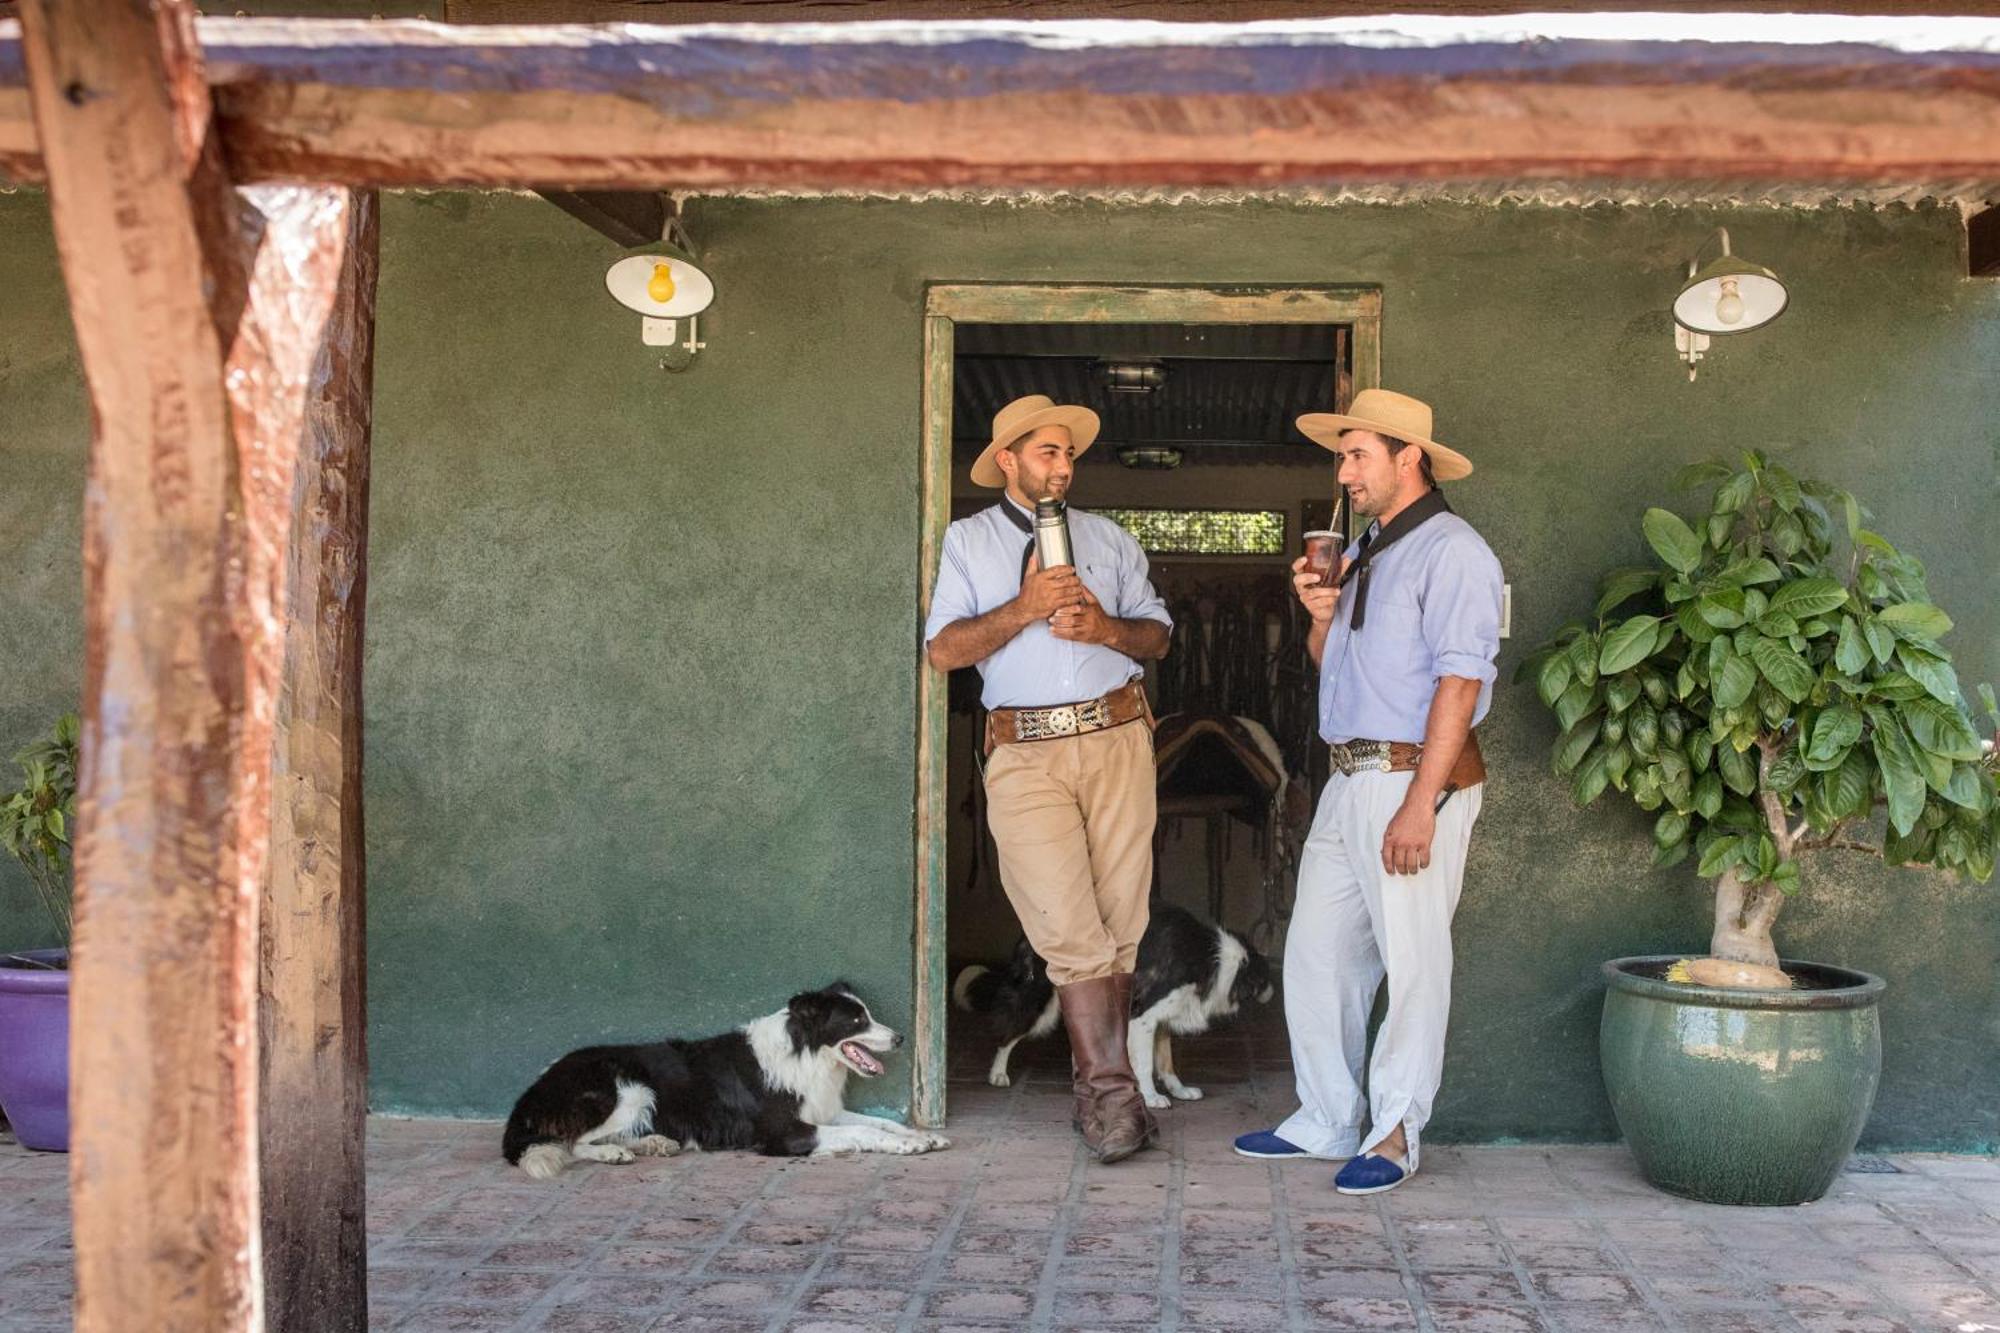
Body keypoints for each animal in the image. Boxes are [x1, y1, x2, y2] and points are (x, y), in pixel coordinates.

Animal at [496, 976, 940, 1176]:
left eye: (868, 1014)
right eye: (857, 1021)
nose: (900, 1038)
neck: (805, 1053)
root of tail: (530, 1094)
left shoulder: (823, 1110)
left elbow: (878, 1122)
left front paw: (921, 1136)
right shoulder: (783, 1132)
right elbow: (864, 1130)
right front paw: (905, 1146)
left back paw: (654, 1143)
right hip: (627, 1089)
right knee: (572, 1142)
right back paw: (613, 1153)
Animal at [956, 896, 1280, 1104]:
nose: (1274, 992)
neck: (1215, 959)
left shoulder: (1162, 1017)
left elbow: (1166, 1062)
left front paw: (1179, 1090)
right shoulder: (1143, 1015)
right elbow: (1145, 1063)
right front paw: (1151, 1098)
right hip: (1040, 1003)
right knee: (1008, 1033)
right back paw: (998, 1073)